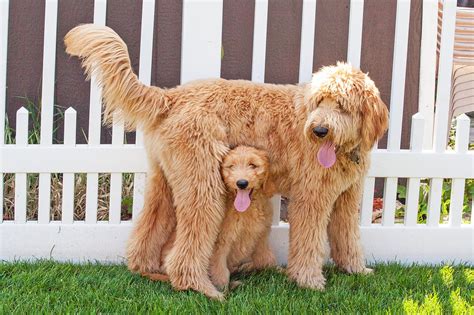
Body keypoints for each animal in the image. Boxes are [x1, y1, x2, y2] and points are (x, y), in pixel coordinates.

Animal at [64, 23, 388, 300]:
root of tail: (171, 97)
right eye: (319, 101)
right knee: (186, 250)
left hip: (165, 183)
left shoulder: (347, 198)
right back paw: (203, 288)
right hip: (204, 186)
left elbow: (348, 237)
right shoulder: (311, 198)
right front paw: (310, 282)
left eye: (342, 105)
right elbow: (308, 243)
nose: (319, 130)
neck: (345, 149)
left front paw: (356, 270)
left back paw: (149, 272)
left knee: (148, 232)